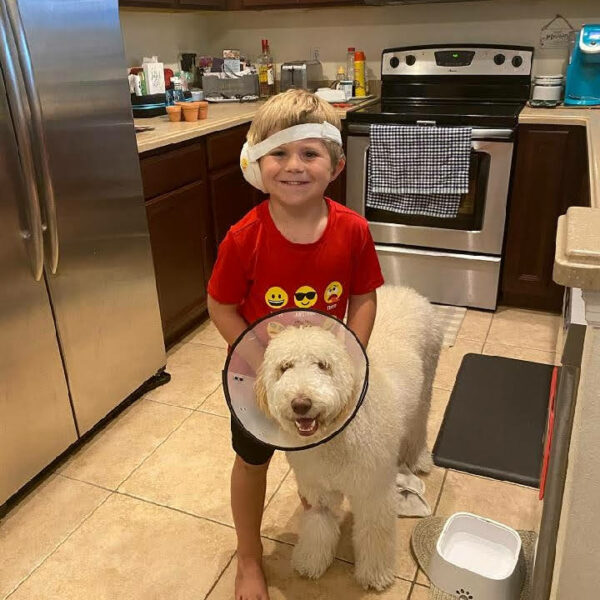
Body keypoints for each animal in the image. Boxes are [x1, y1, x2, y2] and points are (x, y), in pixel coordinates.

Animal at [253, 286, 440, 592]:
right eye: (285, 367)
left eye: (323, 365)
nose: (301, 404)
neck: (334, 438)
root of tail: (403, 289)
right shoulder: (317, 490)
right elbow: (318, 526)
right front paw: (310, 561)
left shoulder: (373, 493)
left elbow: (374, 534)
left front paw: (375, 575)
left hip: (427, 385)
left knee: (419, 425)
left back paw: (419, 458)